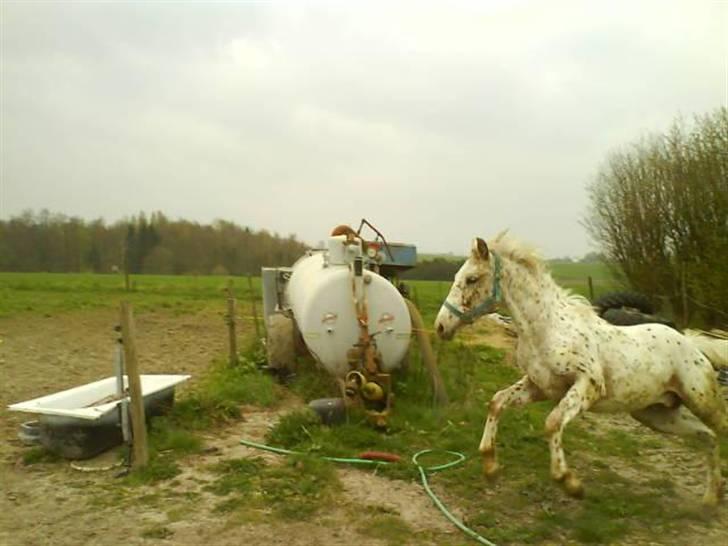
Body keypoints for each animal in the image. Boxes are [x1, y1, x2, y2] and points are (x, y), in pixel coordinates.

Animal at [436, 232, 724, 504]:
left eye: (472, 279)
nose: (441, 326)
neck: (548, 330)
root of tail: (693, 345)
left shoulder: (588, 385)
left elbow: (553, 422)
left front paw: (569, 483)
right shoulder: (539, 386)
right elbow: (497, 402)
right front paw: (490, 467)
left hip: (702, 402)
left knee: (718, 429)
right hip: (656, 414)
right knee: (708, 437)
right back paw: (710, 500)